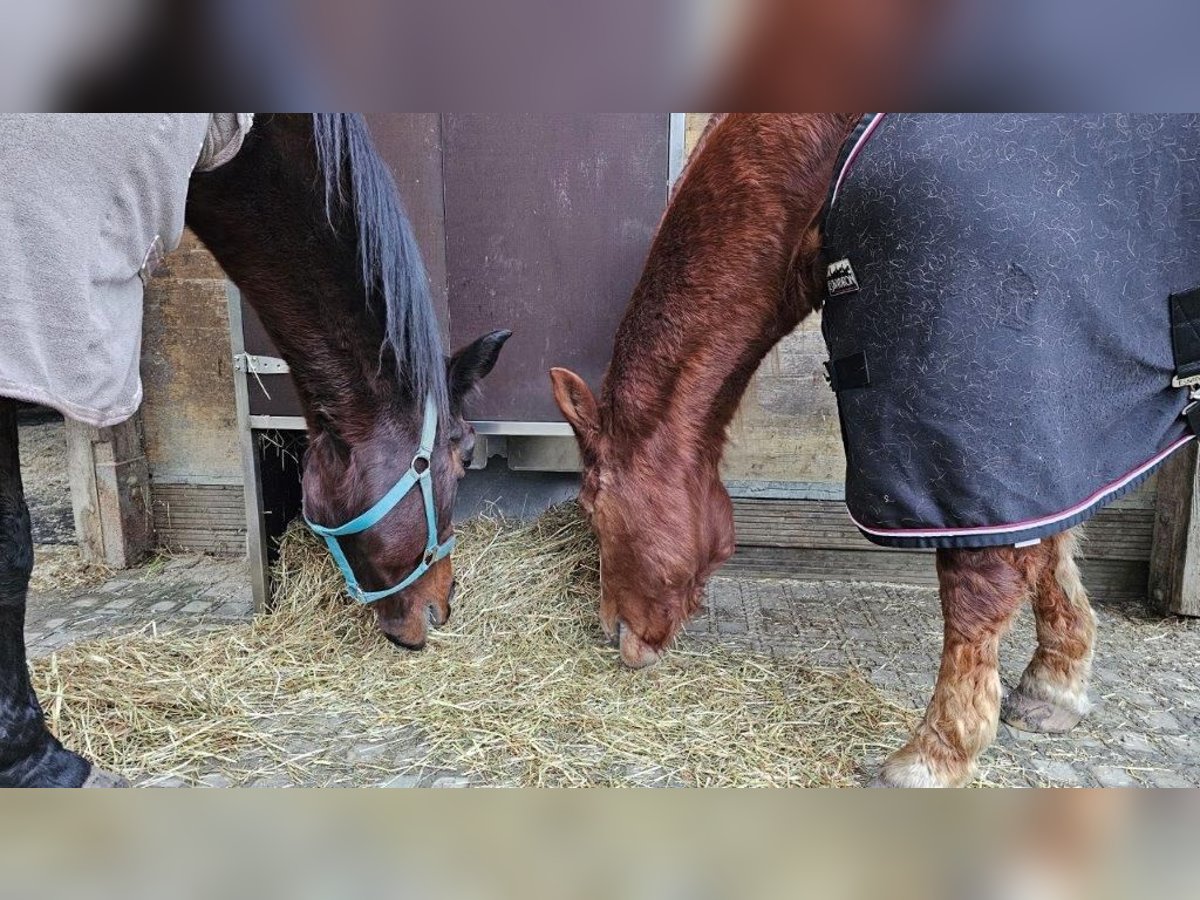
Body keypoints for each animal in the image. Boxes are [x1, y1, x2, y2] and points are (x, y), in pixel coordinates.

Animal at [556, 114, 1185, 787]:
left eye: (592, 510)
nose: (614, 634)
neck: (821, 159)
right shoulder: (1046, 437)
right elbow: (1051, 548)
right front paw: (1054, 688)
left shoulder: (976, 417)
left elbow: (980, 586)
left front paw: (933, 756)